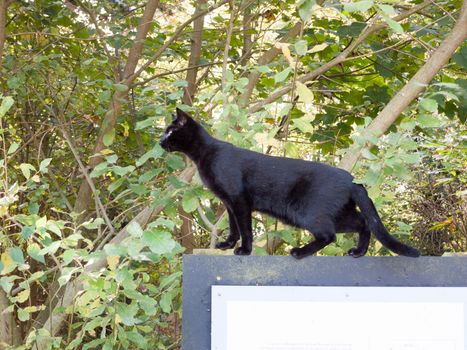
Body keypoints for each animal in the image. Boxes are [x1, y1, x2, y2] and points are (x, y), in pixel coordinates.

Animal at [160, 108, 420, 258]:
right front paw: (227, 244)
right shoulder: (228, 202)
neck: (205, 154)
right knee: (363, 223)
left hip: (307, 213)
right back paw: (358, 252)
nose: (160, 141)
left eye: (170, 131)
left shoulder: (239, 199)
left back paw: (299, 252)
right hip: (337, 213)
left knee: (329, 235)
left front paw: (244, 250)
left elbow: (245, 228)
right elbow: (234, 227)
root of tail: (351, 179)